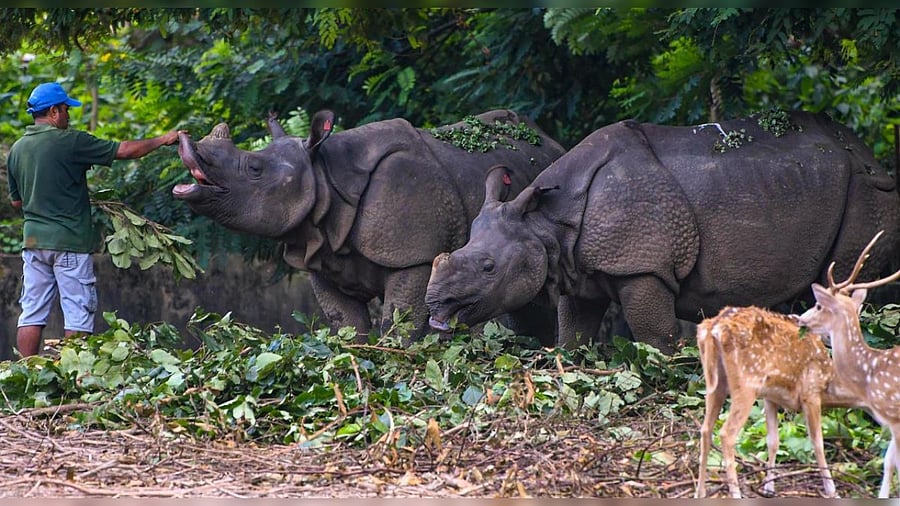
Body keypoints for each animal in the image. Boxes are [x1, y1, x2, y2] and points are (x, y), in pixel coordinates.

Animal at [174, 109, 565, 341]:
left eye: (254, 169)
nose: (186, 150)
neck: (324, 176)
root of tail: (550, 141)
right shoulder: (322, 259)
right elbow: (347, 323)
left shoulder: (416, 256)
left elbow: (400, 319)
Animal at [426, 111, 900, 354]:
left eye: (488, 267)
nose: (434, 305)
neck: (545, 223)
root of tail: (869, 154)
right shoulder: (576, 268)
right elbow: (573, 334)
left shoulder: (642, 265)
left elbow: (654, 334)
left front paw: (665, 372)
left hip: (868, 187)